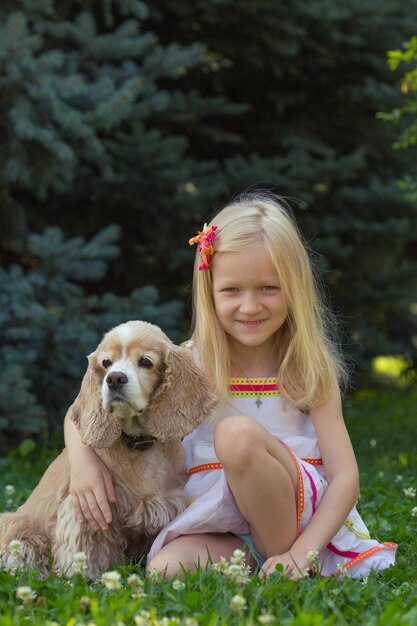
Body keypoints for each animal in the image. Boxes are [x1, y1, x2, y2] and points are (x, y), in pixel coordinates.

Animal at [0, 322, 214, 576]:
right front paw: (84, 577)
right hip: (14, 525)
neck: (138, 445)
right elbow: (88, 551)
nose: (114, 379)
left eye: (146, 362)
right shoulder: (87, 508)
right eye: (106, 363)